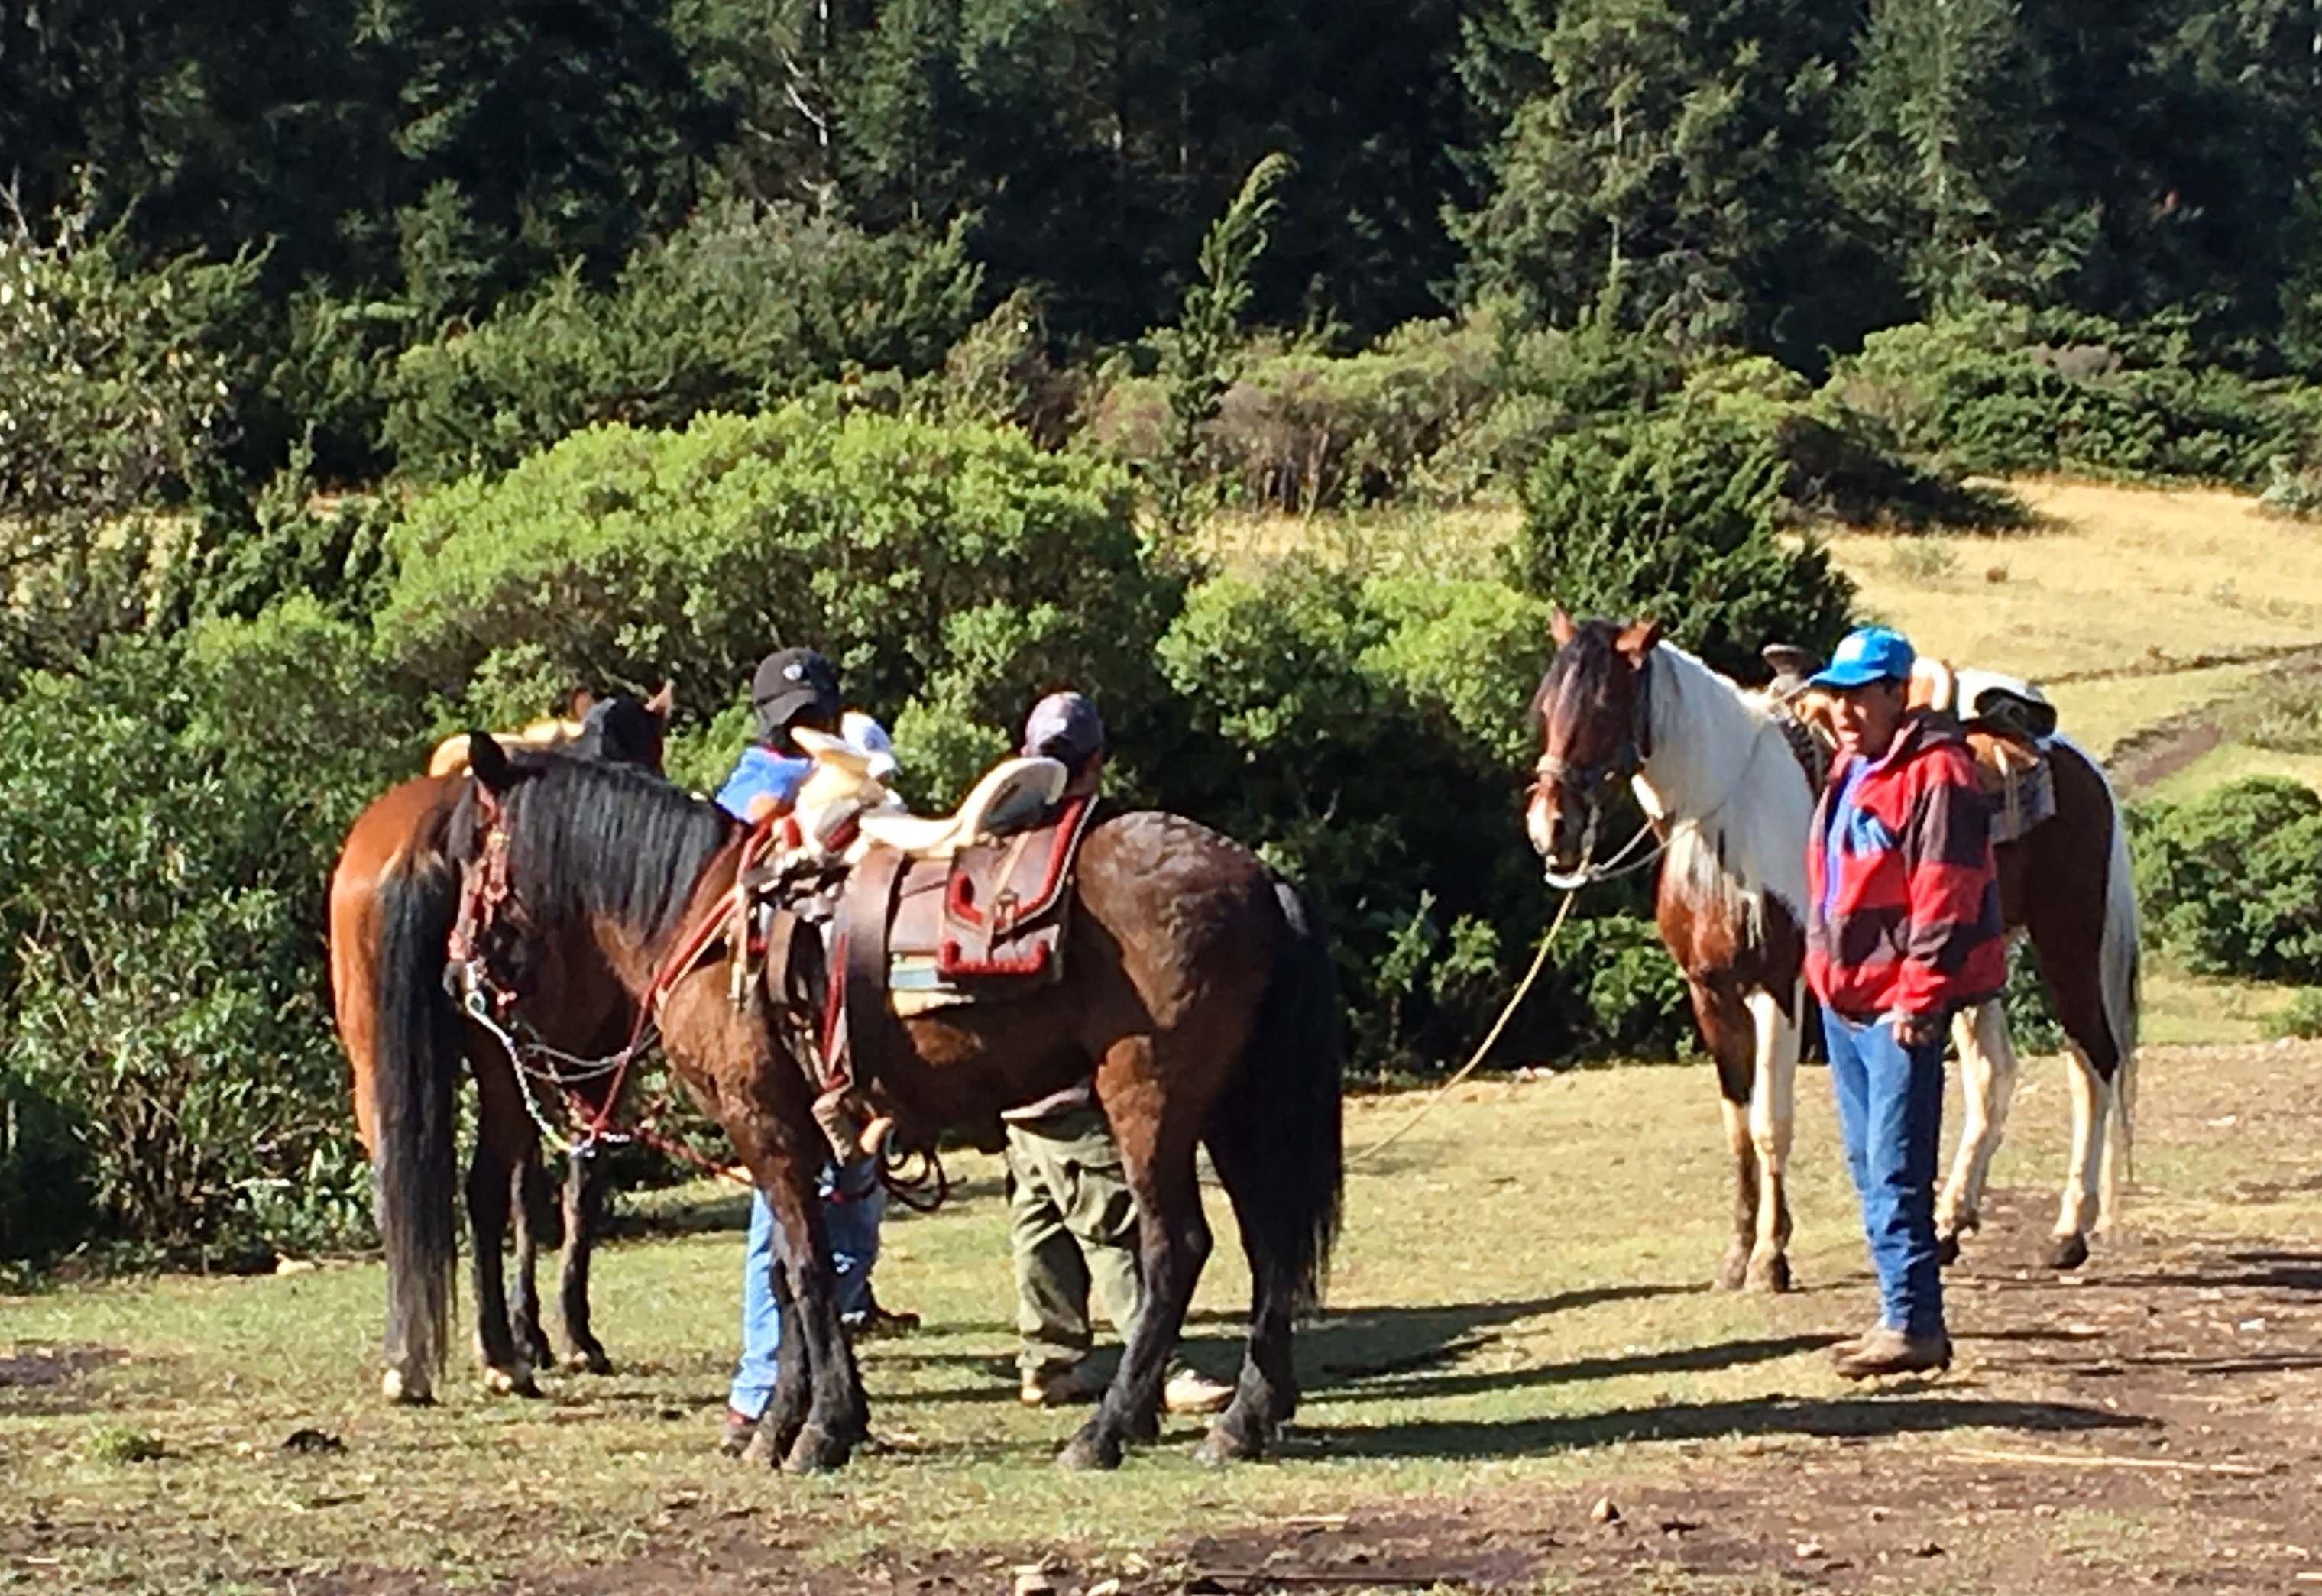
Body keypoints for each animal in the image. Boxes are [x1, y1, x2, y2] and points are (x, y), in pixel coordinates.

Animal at [330, 689, 671, 1403]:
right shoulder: (592, 1068)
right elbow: (574, 1185)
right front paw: (569, 1336)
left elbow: (528, 1188)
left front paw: (533, 1329)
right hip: (497, 1059)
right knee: (480, 1185)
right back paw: (498, 1356)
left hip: (374, 1062)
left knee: (393, 1186)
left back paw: (409, 1359)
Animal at [393, 743, 1342, 1472]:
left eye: (473, 847)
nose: (454, 968)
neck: (705, 916)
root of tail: (1260, 877)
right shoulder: (794, 1135)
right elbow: (788, 1271)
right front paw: (781, 1424)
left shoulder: (765, 1126)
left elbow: (809, 1273)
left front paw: (822, 1430)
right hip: (1231, 1108)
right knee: (1267, 1243)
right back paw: (1244, 1419)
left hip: (1149, 1098)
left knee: (1174, 1246)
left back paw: (1105, 1430)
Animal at [1527, 616, 2139, 1286]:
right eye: (1545, 707)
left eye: (1603, 705)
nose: (1548, 827)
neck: (1727, 820)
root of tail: (2072, 758)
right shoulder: (1709, 990)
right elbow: (1737, 1125)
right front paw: (1736, 1254)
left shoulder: (1776, 985)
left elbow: (1770, 1122)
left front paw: (1770, 1257)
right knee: (1993, 1075)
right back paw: (1950, 1224)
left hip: (2067, 939)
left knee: (2093, 1064)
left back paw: (2069, 1230)